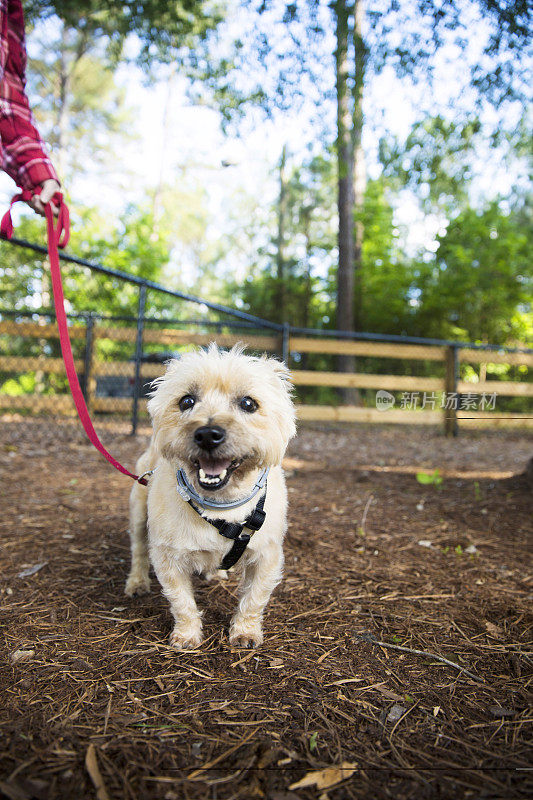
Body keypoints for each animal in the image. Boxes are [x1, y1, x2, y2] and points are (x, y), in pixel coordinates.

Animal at [126, 344, 298, 648]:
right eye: (186, 401)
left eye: (248, 404)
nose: (207, 434)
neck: (221, 508)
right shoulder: (167, 556)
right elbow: (181, 600)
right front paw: (187, 635)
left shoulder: (267, 556)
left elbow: (254, 598)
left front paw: (245, 632)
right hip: (137, 512)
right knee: (138, 550)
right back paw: (136, 583)